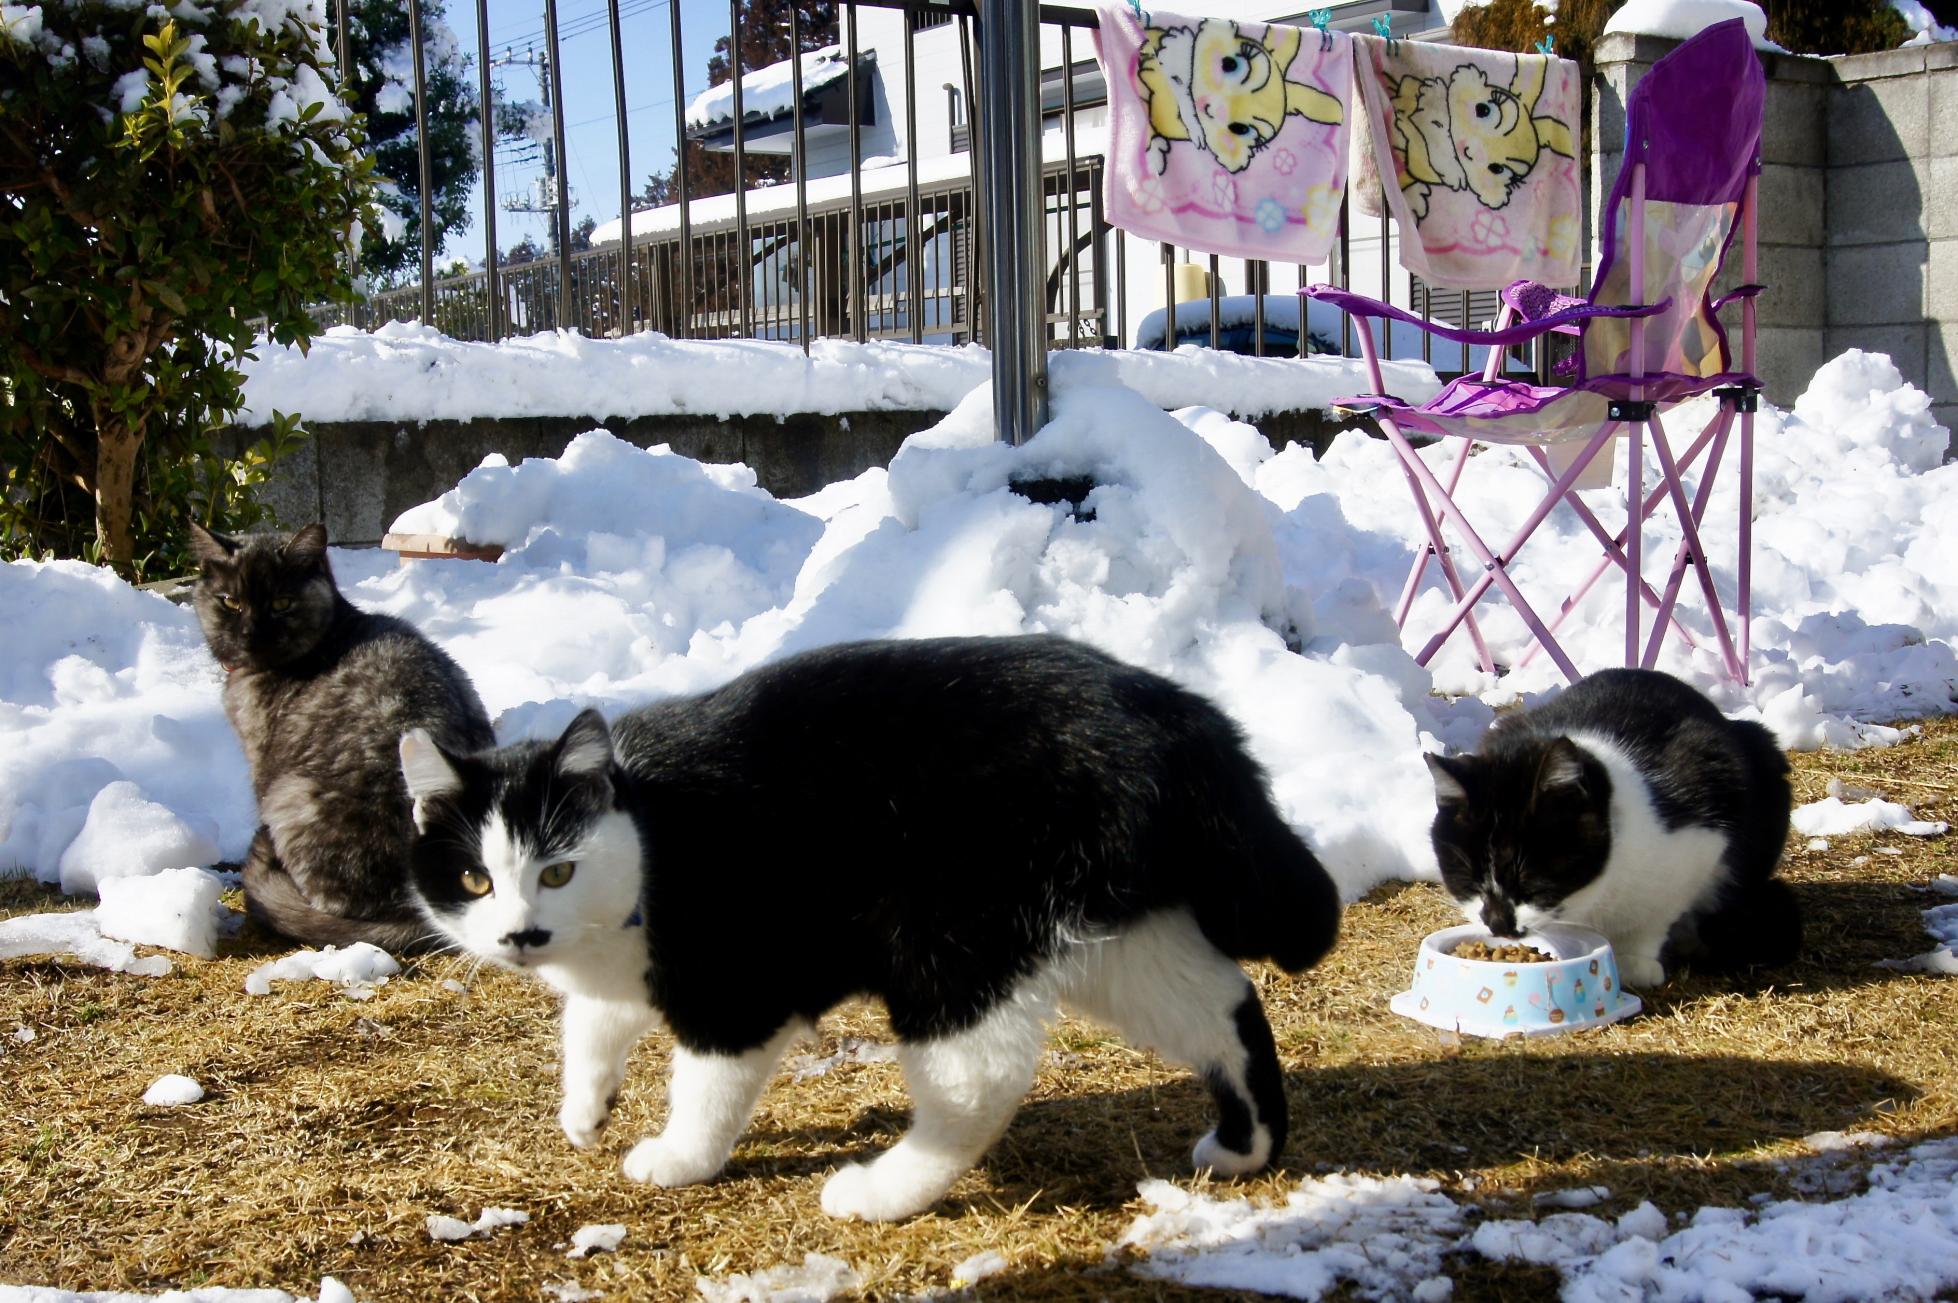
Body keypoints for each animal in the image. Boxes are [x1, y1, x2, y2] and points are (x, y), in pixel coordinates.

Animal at [397, 630, 1347, 1222]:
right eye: (476, 878)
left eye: (556, 867)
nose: (521, 935)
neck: (654, 833)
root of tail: (1177, 712)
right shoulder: (622, 970)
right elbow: (589, 1023)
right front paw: (585, 1109)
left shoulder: (737, 986)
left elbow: (705, 1085)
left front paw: (678, 1157)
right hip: (1109, 933)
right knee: (1224, 1003)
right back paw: (1247, 1145)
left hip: (950, 937)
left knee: (982, 1079)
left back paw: (879, 1191)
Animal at [1417, 666, 1793, 979]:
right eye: (1469, 879)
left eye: (1532, 880)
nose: (1498, 924)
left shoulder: (1703, 832)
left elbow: (1658, 912)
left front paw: (1633, 961)